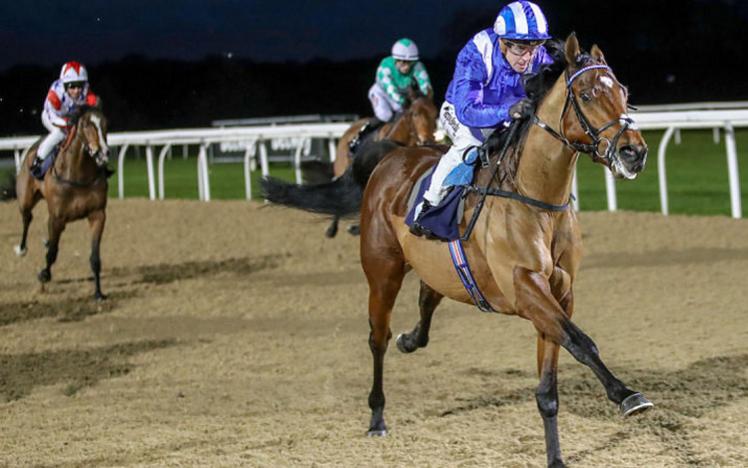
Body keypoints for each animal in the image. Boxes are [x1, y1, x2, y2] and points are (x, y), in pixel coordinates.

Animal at [11, 107, 112, 300]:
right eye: (86, 124)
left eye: (105, 123)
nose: (103, 152)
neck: (78, 175)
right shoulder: (57, 218)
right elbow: (51, 254)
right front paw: (44, 274)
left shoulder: (98, 214)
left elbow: (95, 257)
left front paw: (98, 292)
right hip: (26, 200)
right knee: (27, 218)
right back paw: (22, 249)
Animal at [262, 34, 648, 466]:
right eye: (586, 94)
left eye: (623, 92)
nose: (634, 152)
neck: (535, 197)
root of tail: (392, 155)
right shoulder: (525, 287)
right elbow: (581, 341)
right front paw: (626, 394)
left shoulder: (559, 293)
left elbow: (551, 382)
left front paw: (556, 456)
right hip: (382, 271)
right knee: (378, 337)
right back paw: (377, 415)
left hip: (438, 266)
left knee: (427, 297)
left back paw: (411, 339)